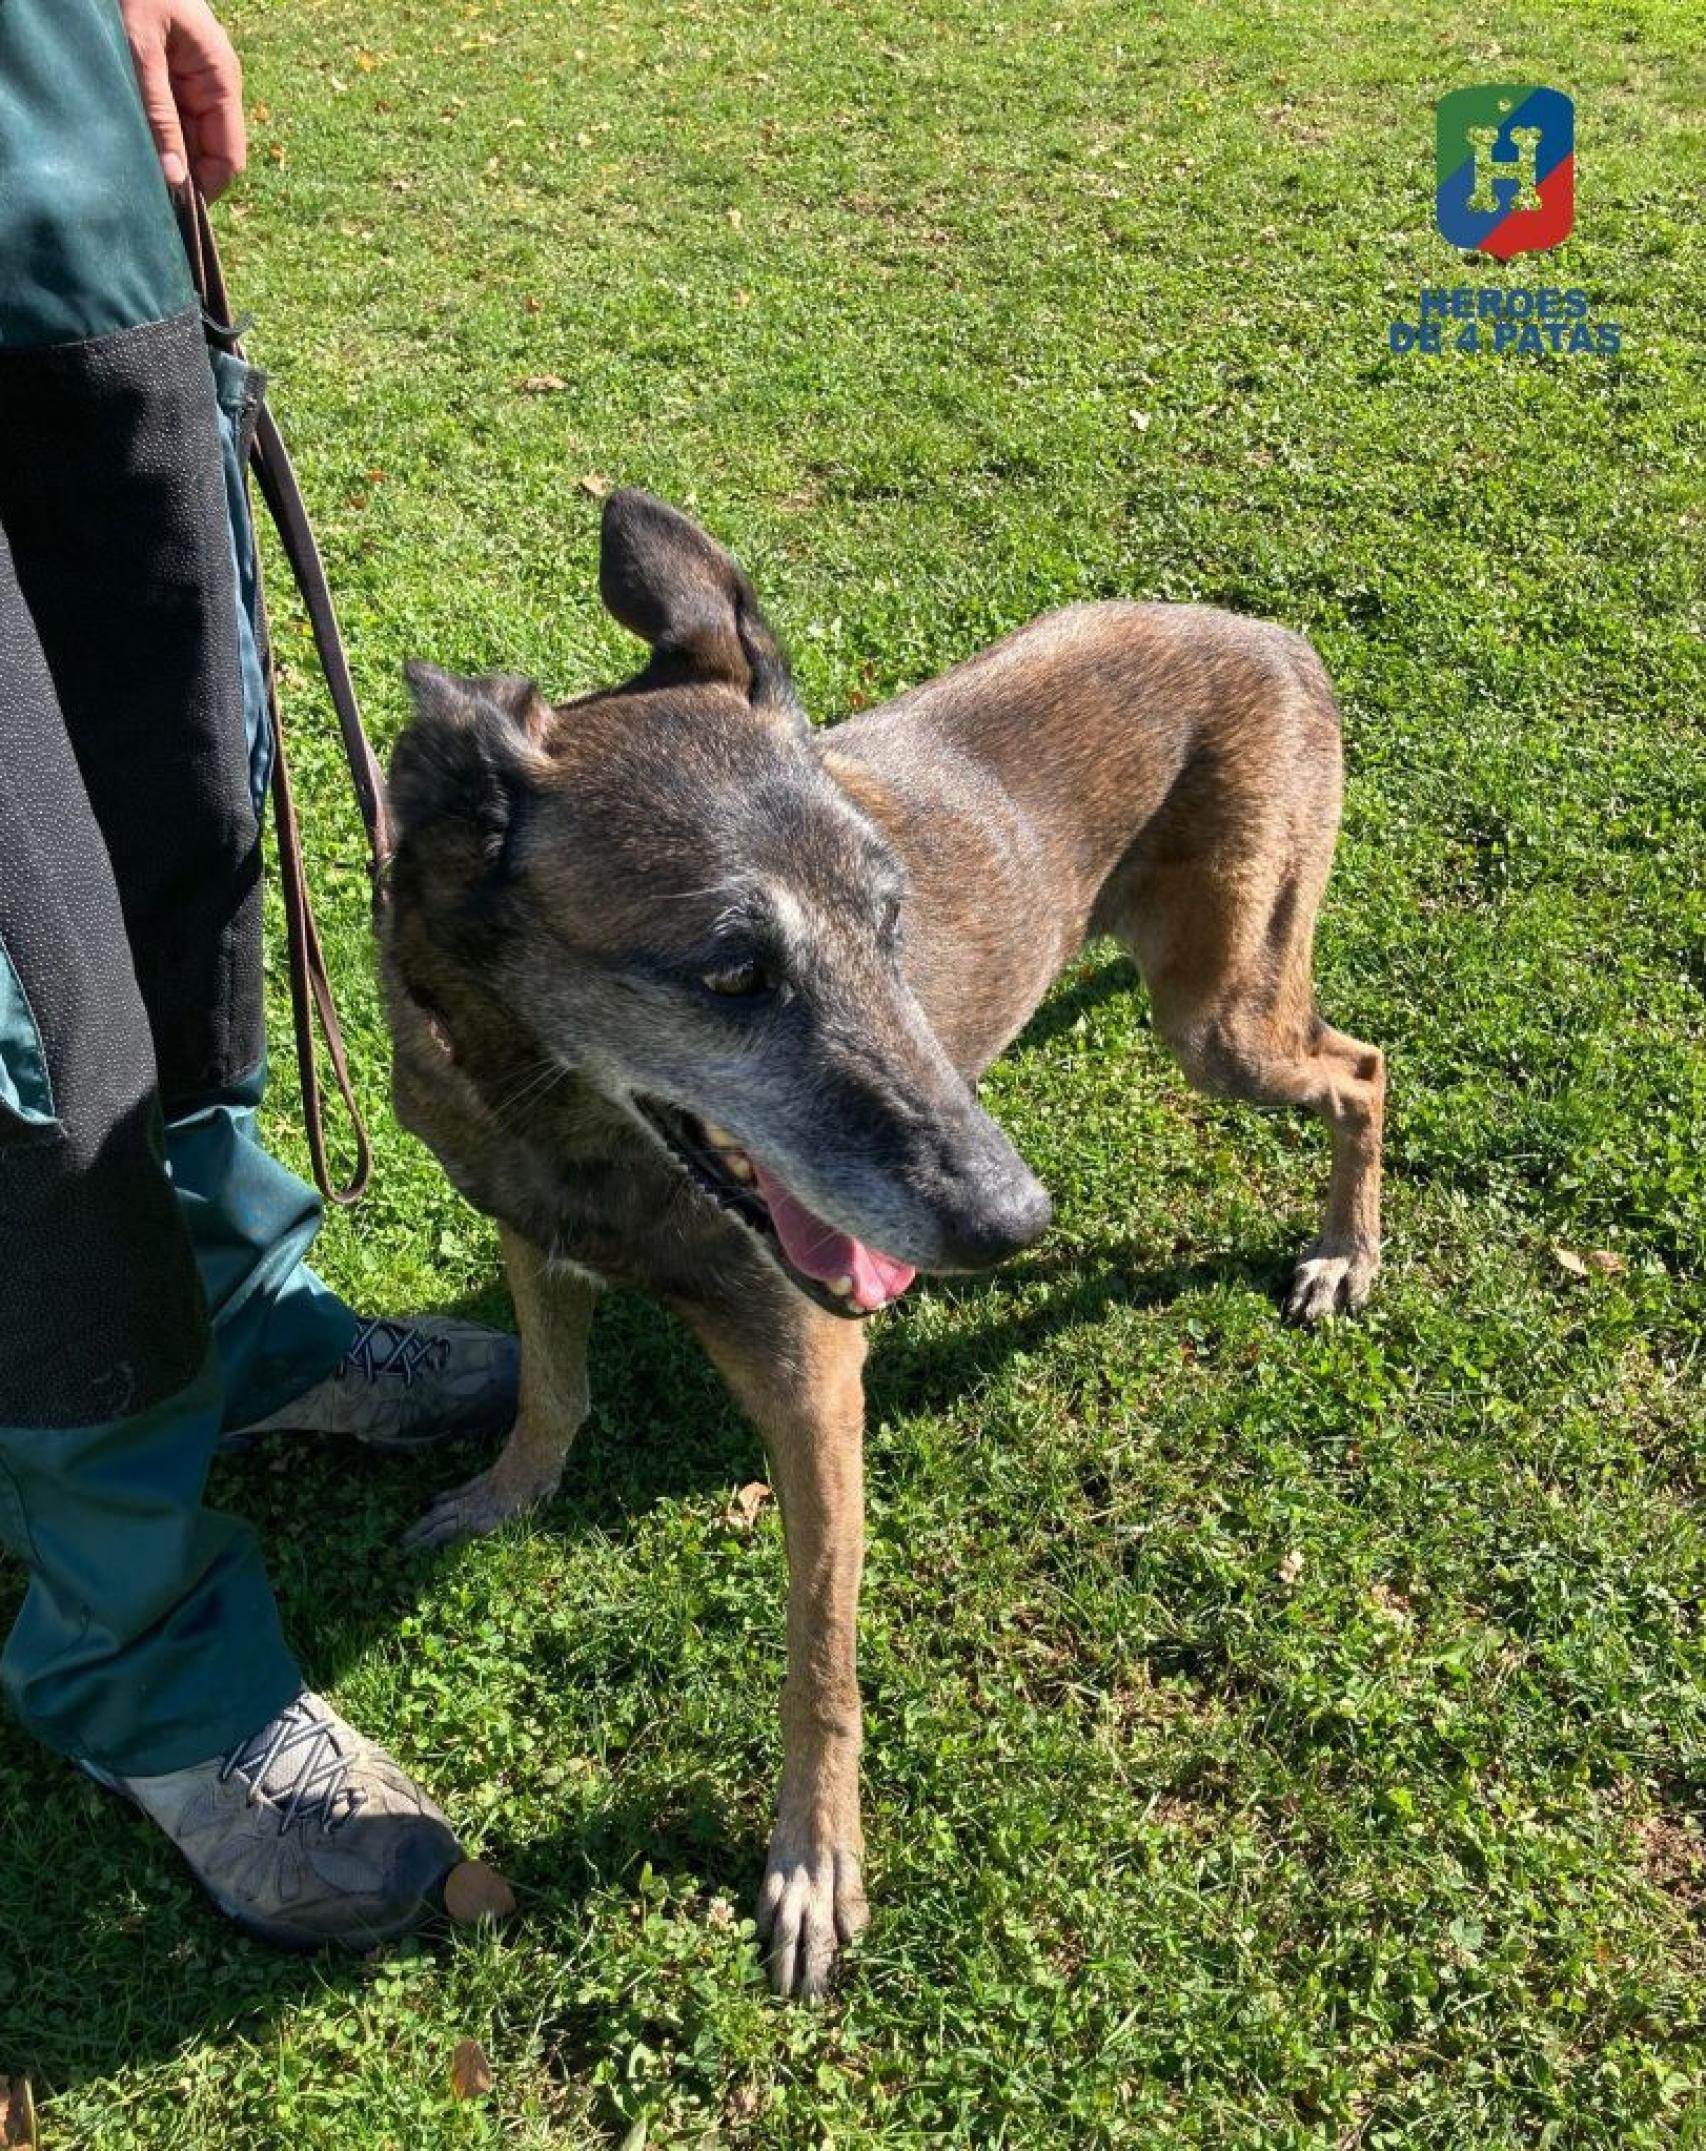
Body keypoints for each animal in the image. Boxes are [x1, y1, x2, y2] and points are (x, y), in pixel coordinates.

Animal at [376, 488, 1385, 1996]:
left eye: (891, 919)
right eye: (733, 972)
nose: (1013, 1222)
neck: (561, 1110)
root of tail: (1273, 637)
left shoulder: (814, 1387)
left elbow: (820, 1656)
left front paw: (812, 1860)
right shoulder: (529, 1234)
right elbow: (551, 1392)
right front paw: (504, 1494)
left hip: (1222, 1020)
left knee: (1364, 1070)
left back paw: (1344, 1249)